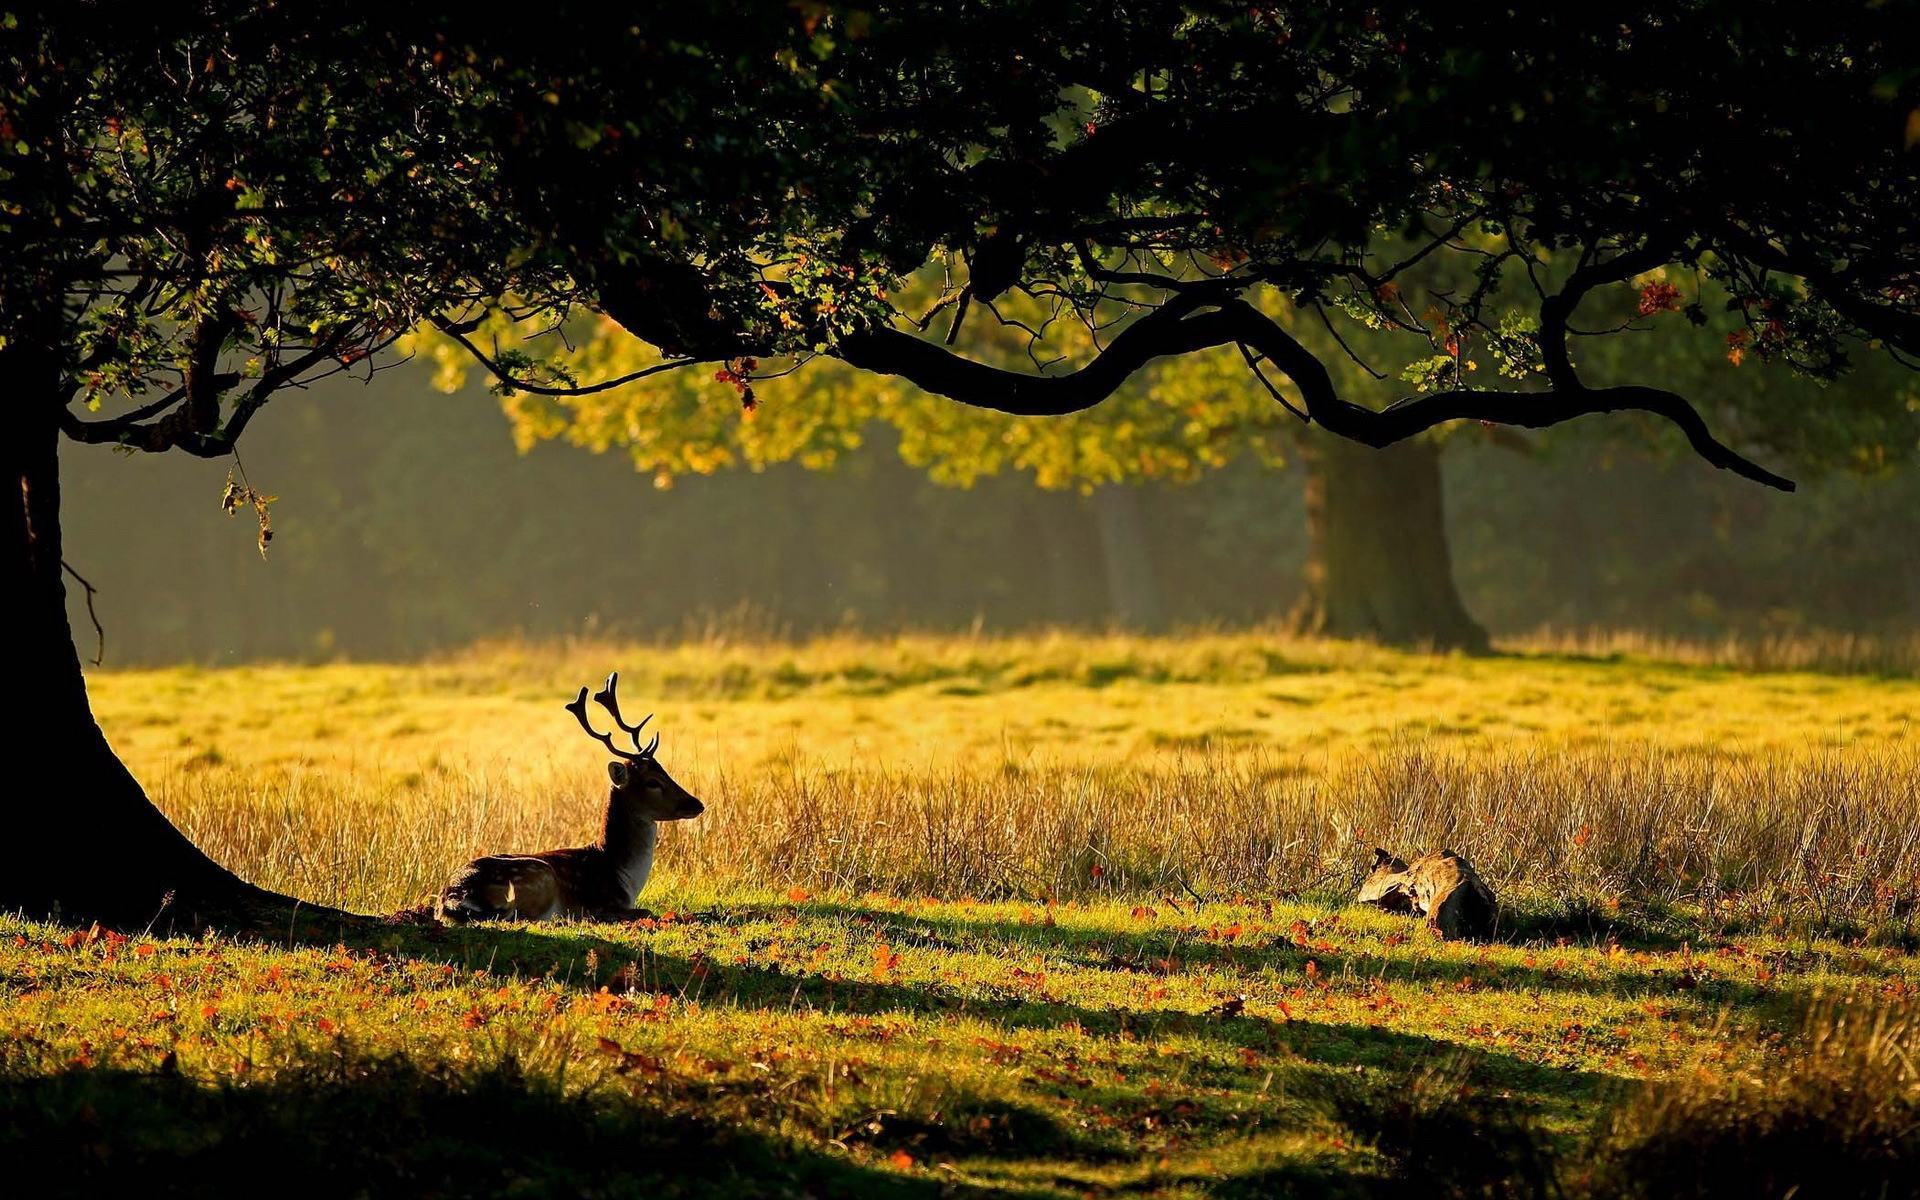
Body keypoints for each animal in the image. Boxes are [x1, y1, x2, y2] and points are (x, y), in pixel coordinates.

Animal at [436, 672, 704, 923]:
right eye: (652, 782)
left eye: (664, 771)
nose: (696, 803)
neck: (622, 876)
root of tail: (453, 897)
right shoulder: (601, 904)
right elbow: (645, 910)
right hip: (539, 876)